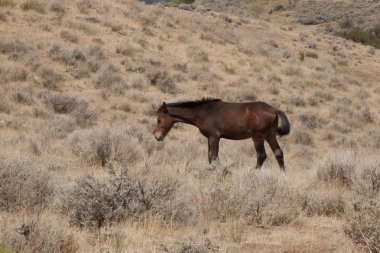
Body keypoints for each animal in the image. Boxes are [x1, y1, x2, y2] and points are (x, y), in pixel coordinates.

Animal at [153, 98, 290, 171]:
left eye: (159, 119)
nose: (157, 136)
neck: (204, 112)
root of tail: (274, 110)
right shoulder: (210, 138)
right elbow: (210, 157)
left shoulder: (214, 137)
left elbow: (214, 157)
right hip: (270, 135)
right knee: (278, 153)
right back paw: (282, 175)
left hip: (258, 137)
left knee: (261, 155)